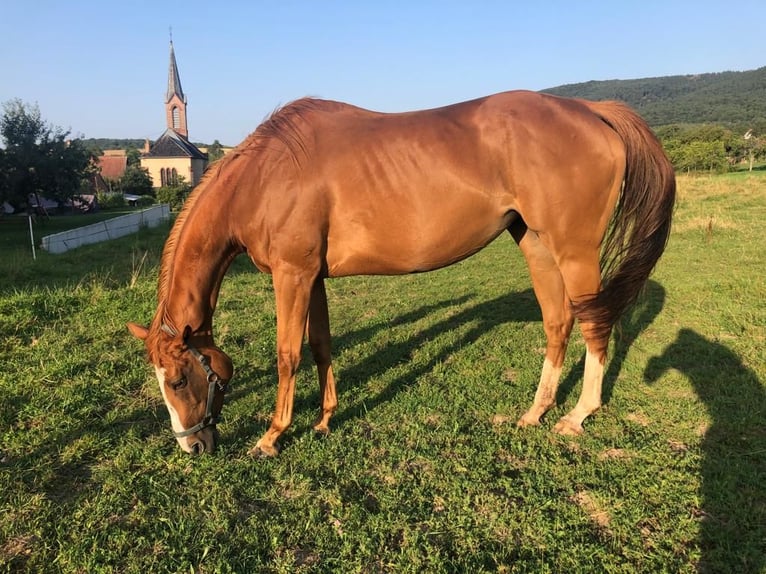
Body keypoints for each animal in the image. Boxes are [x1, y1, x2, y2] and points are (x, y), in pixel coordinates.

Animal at [127, 90, 680, 460]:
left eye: (178, 379)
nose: (193, 447)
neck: (263, 177)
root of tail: (590, 109)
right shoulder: (313, 278)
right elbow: (321, 345)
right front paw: (324, 420)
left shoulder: (292, 275)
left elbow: (287, 354)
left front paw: (272, 436)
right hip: (537, 246)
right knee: (558, 323)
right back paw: (534, 412)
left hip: (576, 252)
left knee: (595, 326)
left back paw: (576, 416)